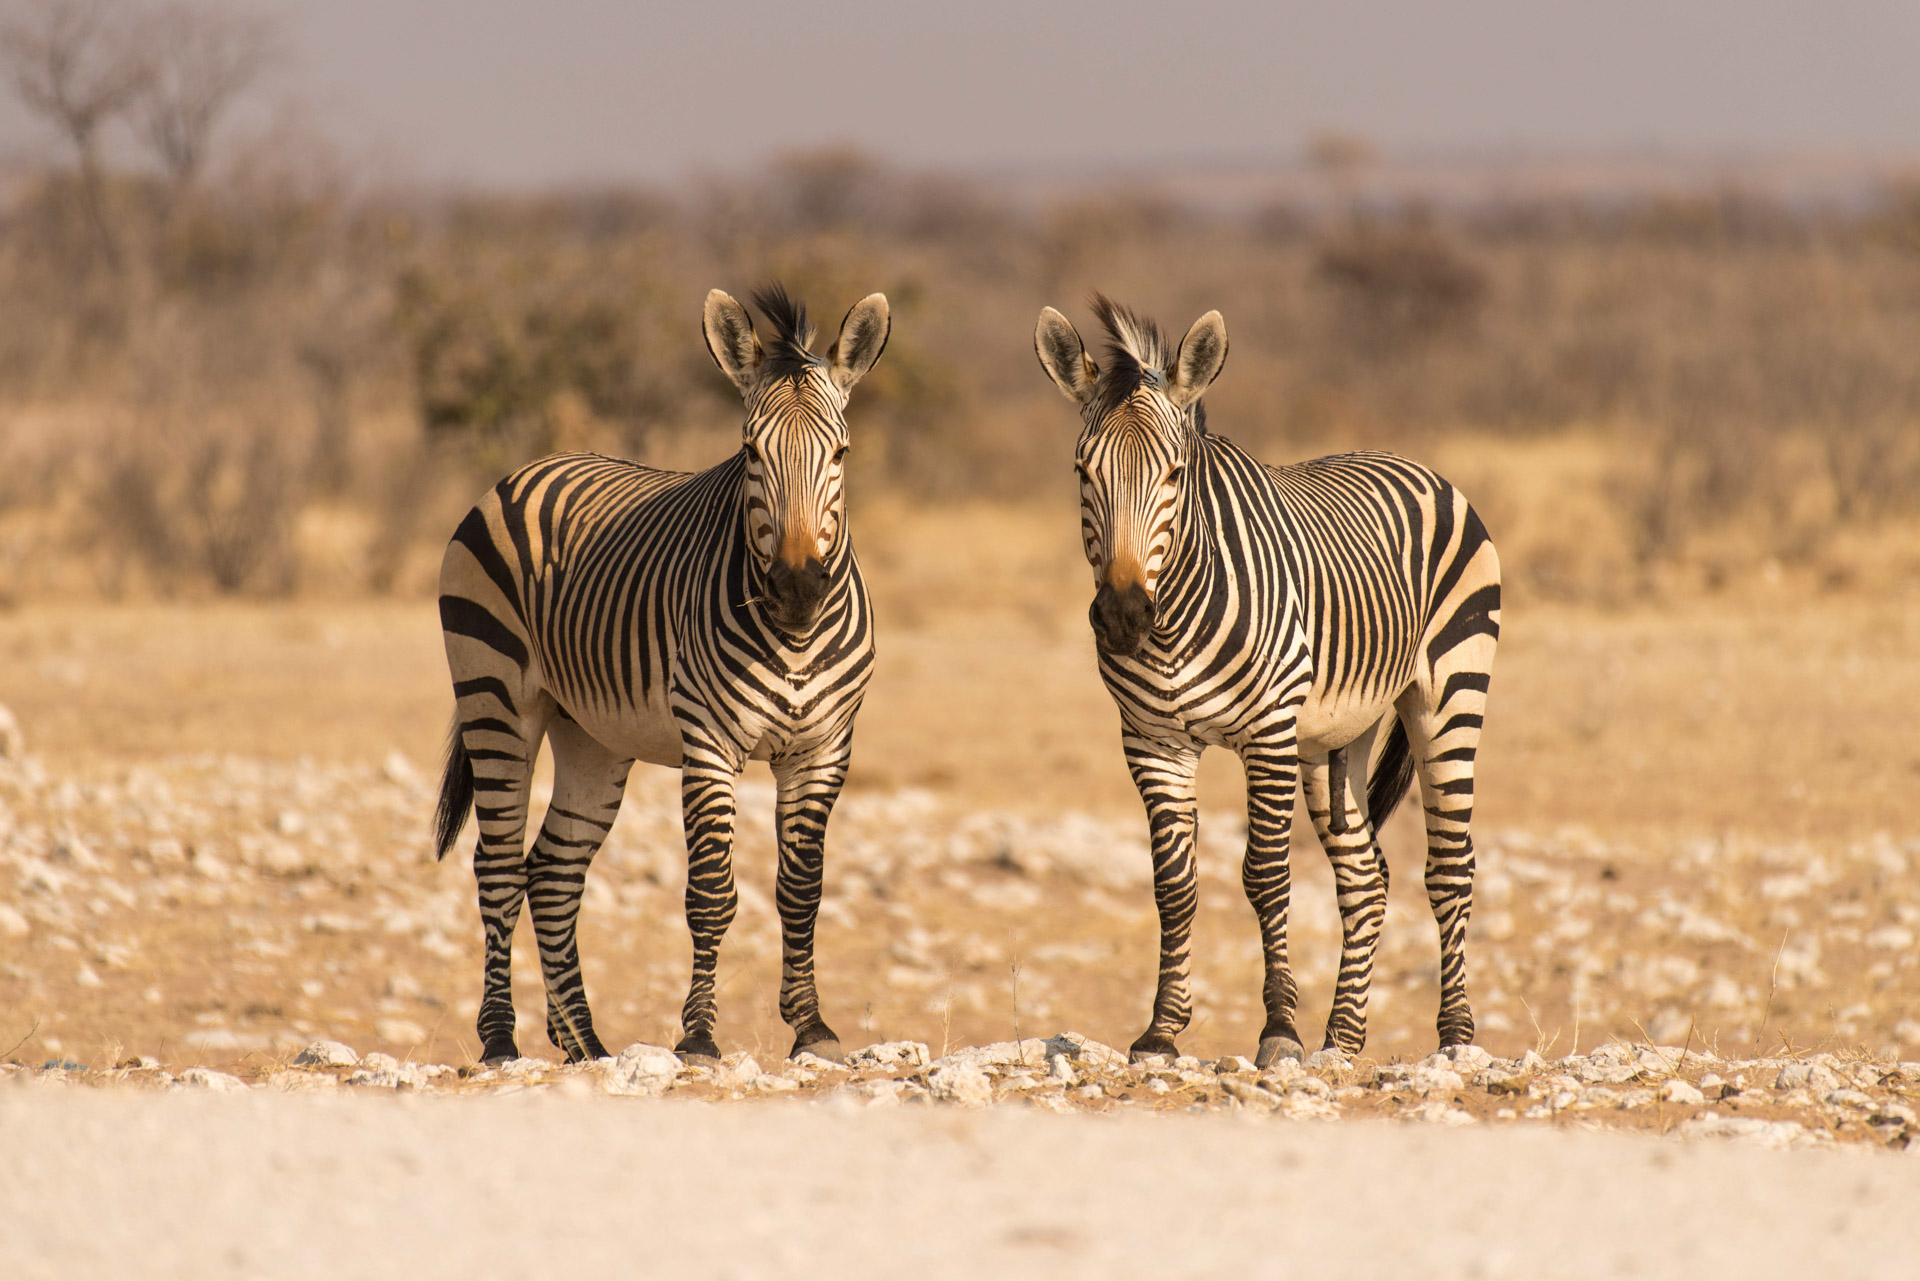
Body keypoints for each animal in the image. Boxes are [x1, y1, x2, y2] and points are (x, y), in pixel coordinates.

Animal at [432, 286, 887, 1067]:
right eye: (750, 452)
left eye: (842, 453)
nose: (798, 588)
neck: (795, 638)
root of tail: (524, 471)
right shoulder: (709, 743)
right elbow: (711, 892)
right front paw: (698, 1035)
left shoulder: (825, 748)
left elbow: (802, 890)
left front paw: (812, 1029)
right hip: (496, 699)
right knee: (499, 866)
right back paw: (499, 1040)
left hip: (590, 734)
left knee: (552, 871)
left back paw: (585, 1042)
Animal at [1036, 295, 1497, 1067]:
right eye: (1082, 472)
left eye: (1174, 475)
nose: (1124, 615)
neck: (1172, 621)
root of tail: (1413, 463)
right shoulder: (1153, 742)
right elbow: (1174, 885)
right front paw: (1161, 1031)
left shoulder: (1269, 733)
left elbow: (1264, 875)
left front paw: (1278, 1029)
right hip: (1337, 735)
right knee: (1365, 877)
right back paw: (1342, 1038)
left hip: (1448, 694)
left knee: (1449, 866)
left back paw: (1456, 1036)